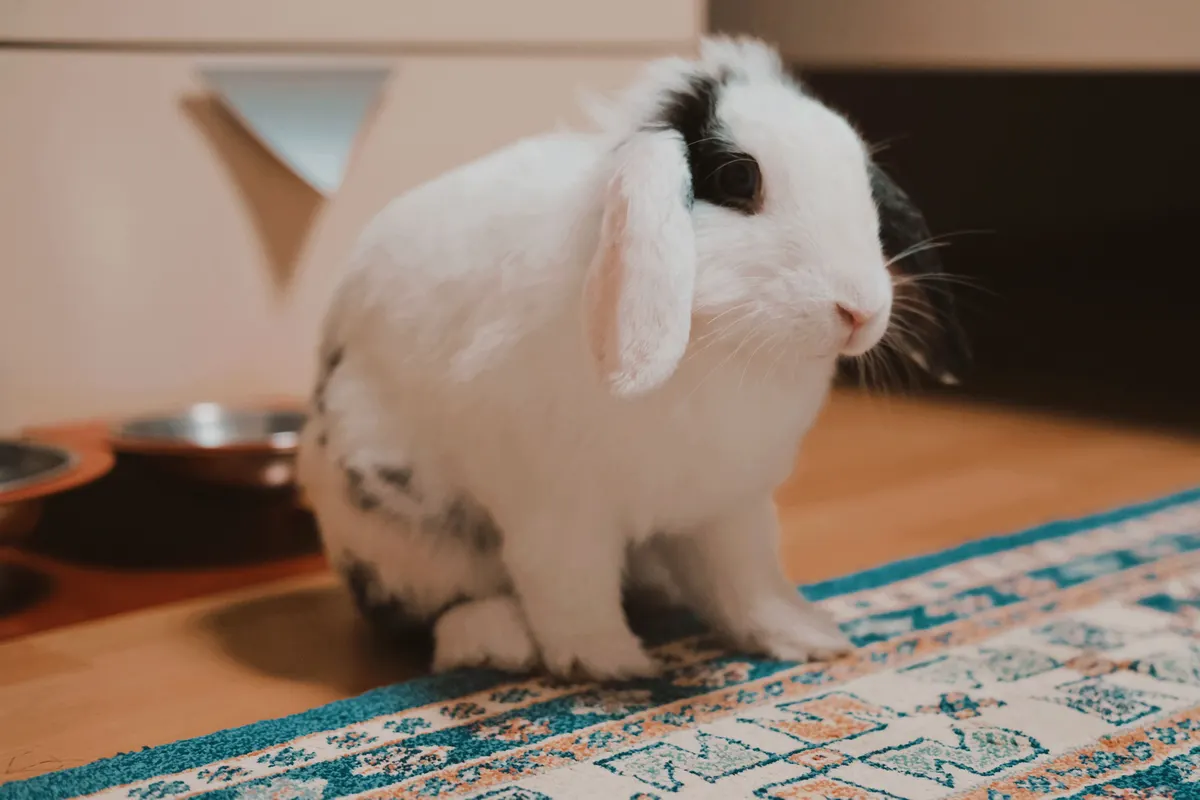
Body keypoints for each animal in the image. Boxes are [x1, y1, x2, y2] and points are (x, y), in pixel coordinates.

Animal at [296, 35, 968, 681]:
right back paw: (498, 642)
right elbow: (570, 585)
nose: (860, 310)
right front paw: (610, 665)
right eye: (738, 178)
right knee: (436, 611)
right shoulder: (558, 507)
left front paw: (809, 638)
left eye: (863, 179)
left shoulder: (731, 509)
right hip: (405, 535)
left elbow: (747, 582)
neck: (721, 345)